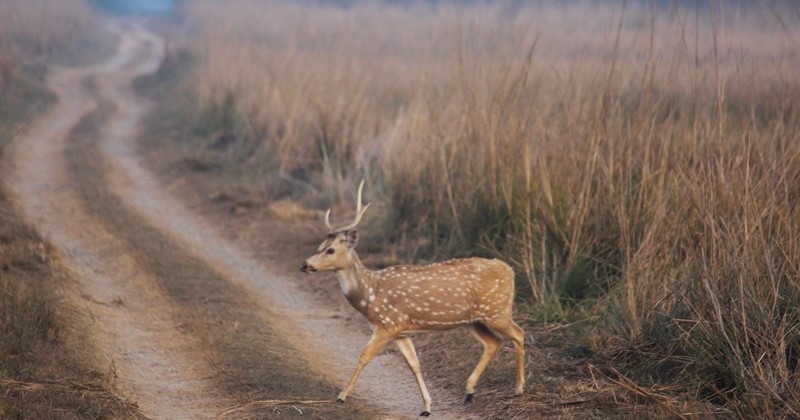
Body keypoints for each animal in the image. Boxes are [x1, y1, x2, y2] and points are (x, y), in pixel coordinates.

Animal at [300, 180, 524, 416]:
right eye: (320, 246)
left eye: (331, 250)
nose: (305, 265)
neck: (370, 294)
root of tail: (509, 271)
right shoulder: (401, 332)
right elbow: (414, 364)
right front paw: (426, 407)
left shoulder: (387, 324)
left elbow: (364, 355)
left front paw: (342, 396)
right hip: (475, 320)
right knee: (494, 342)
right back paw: (469, 392)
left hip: (497, 311)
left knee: (519, 333)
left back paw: (519, 388)